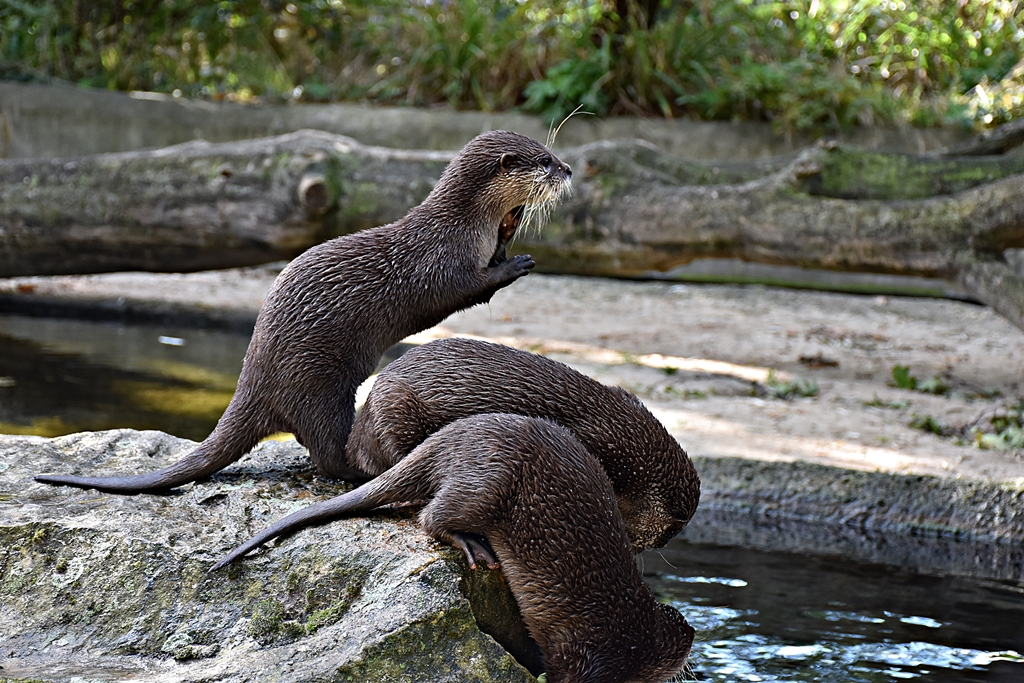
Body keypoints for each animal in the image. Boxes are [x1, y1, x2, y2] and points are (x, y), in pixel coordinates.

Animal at [35, 132, 572, 493]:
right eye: (544, 160)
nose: (568, 170)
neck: (461, 226)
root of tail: (253, 377)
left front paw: (510, 232)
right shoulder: (440, 265)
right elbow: (466, 289)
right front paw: (517, 264)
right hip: (317, 384)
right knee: (328, 455)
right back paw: (365, 471)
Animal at [213, 413, 694, 683]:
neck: (638, 637)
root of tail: (448, 438)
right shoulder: (591, 657)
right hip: (486, 480)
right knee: (430, 516)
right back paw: (473, 547)